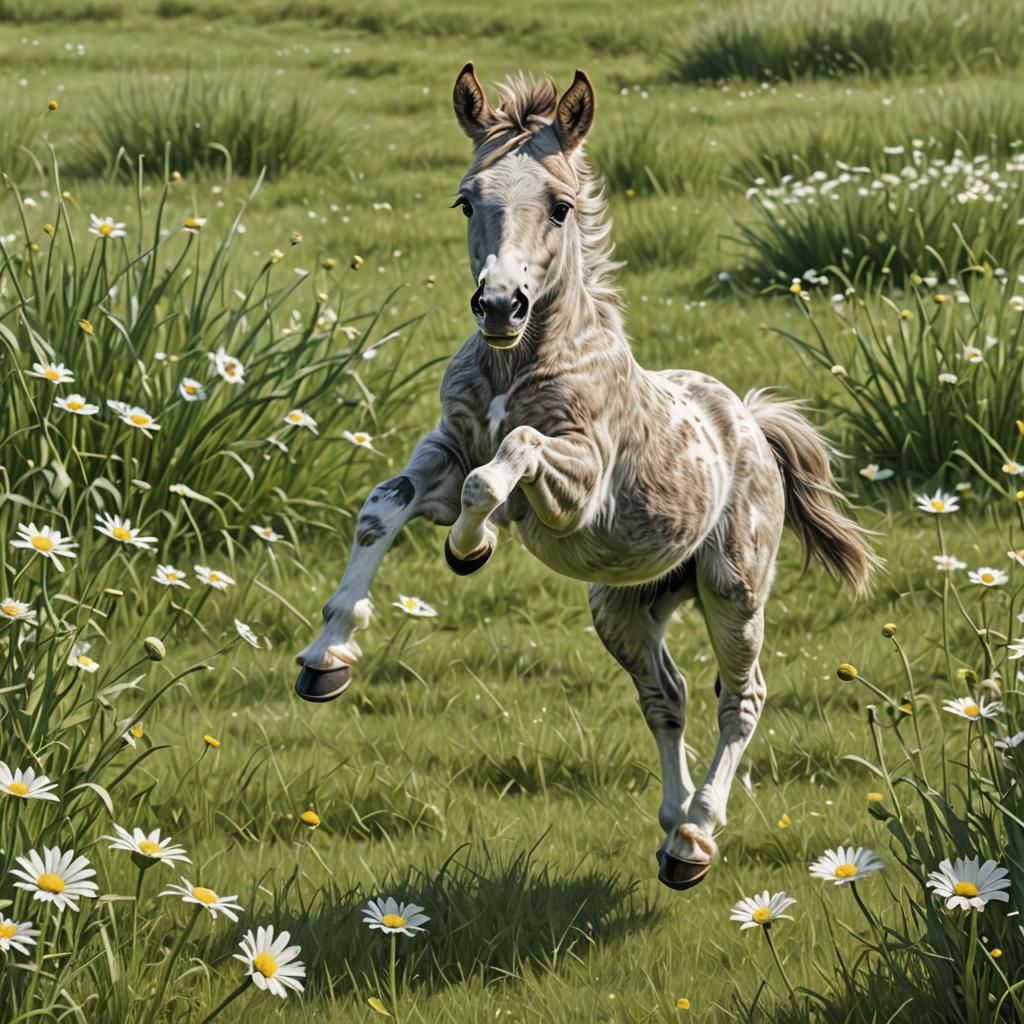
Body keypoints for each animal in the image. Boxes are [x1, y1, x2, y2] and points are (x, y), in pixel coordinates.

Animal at [294, 64, 873, 891]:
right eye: (467, 200)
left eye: (559, 206)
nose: (499, 305)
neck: (516, 365)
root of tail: (752, 424)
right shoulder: (445, 451)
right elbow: (384, 505)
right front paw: (328, 658)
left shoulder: (574, 484)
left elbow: (502, 470)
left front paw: (470, 551)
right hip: (623, 606)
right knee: (667, 695)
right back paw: (670, 830)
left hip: (731, 587)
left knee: (743, 697)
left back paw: (696, 839)